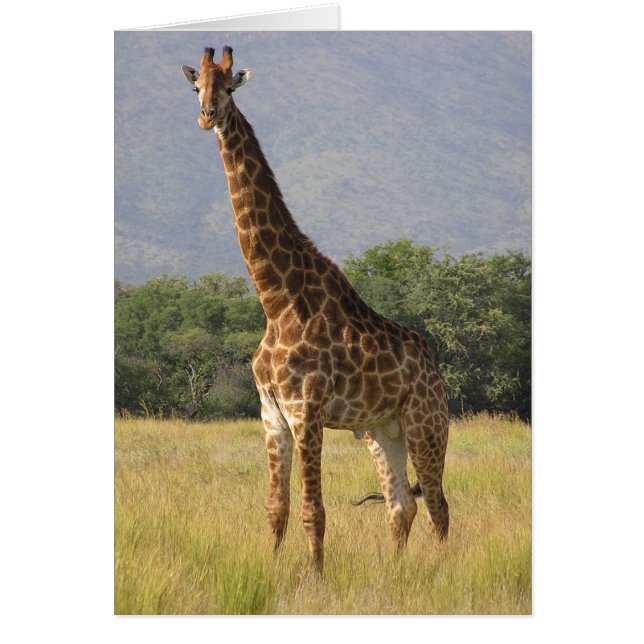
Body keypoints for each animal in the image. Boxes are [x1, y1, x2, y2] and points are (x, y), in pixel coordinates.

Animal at [181, 46, 449, 572]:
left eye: (230, 87)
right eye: (196, 85)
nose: (206, 116)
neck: (275, 299)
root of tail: (436, 371)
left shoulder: (307, 408)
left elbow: (313, 509)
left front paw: (315, 577)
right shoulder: (271, 412)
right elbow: (276, 507)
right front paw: (270, 570)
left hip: (427, 424)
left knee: (437, 505)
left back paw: (442, 573)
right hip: (380, 430)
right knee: (400, 504)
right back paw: (395, 572)